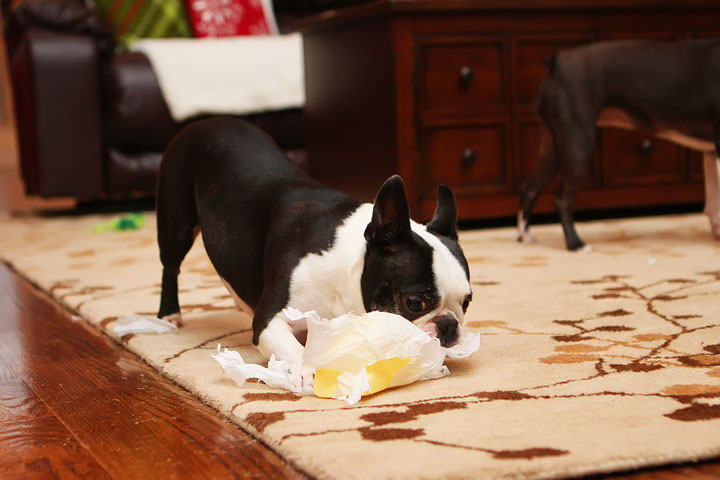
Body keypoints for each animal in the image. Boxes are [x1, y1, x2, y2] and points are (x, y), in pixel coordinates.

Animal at [516, 39, 720, 249]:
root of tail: (557, 62)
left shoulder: (711, 151)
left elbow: (713, 202)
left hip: (554, 146)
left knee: (530, 187)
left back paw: (525, 235)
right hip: (577, 144)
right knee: (562, 200)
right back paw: (575, 244)